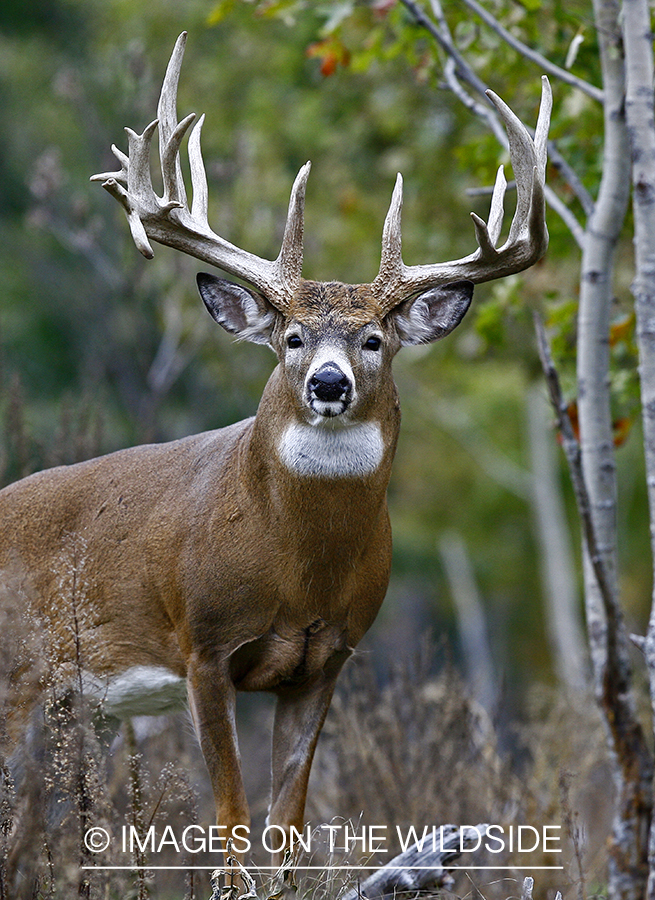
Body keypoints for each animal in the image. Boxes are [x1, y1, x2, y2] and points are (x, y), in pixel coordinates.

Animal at [0, 31, 552, 868]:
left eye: (374, 339)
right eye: (291, 336)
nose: (327, 382)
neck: (297, 566)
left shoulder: (327, 659)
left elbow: (286, 830)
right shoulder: (203, 647)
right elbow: (230, 826)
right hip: (15, 674)